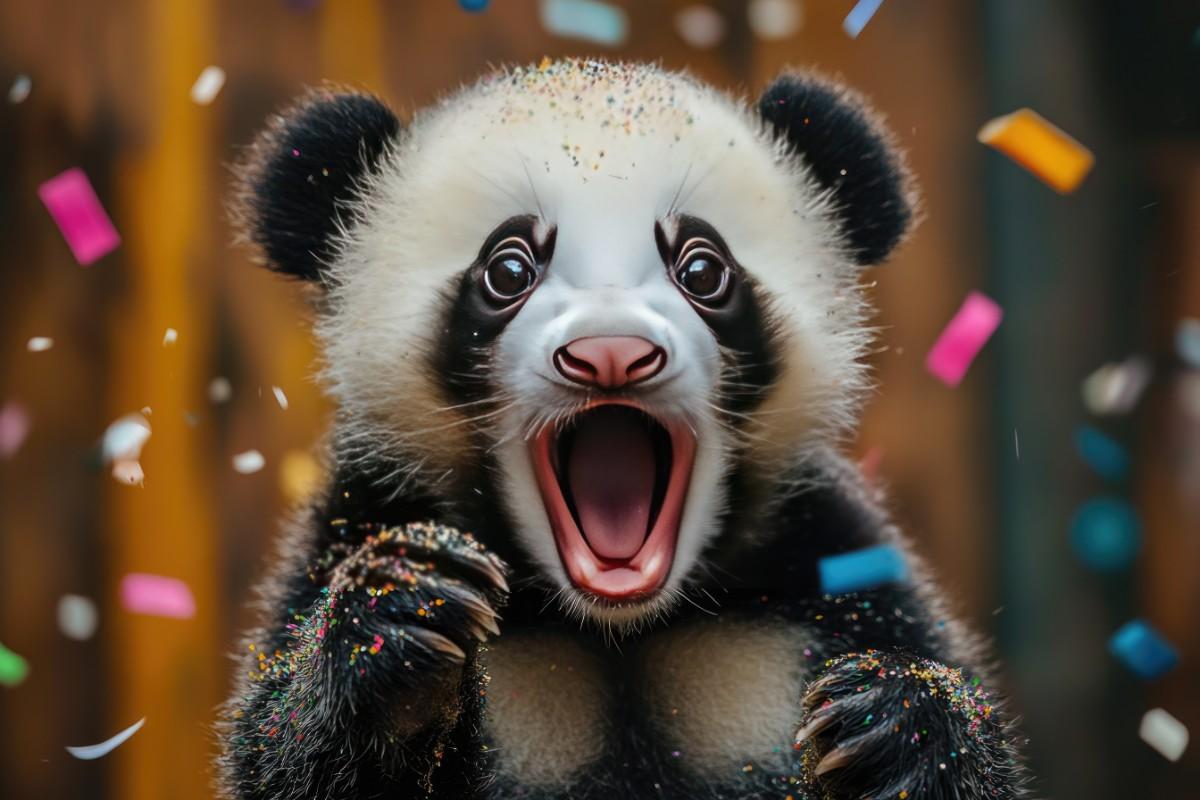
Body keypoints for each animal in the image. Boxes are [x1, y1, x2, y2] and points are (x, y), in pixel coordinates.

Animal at [217, 59, 1033, 800]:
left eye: (702, 269)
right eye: (507, 269)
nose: (611, 353)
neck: (614, 627)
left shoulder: (827, 569)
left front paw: (894, 724)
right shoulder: (355, 520)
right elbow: (281, 750)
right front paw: (400, 619)